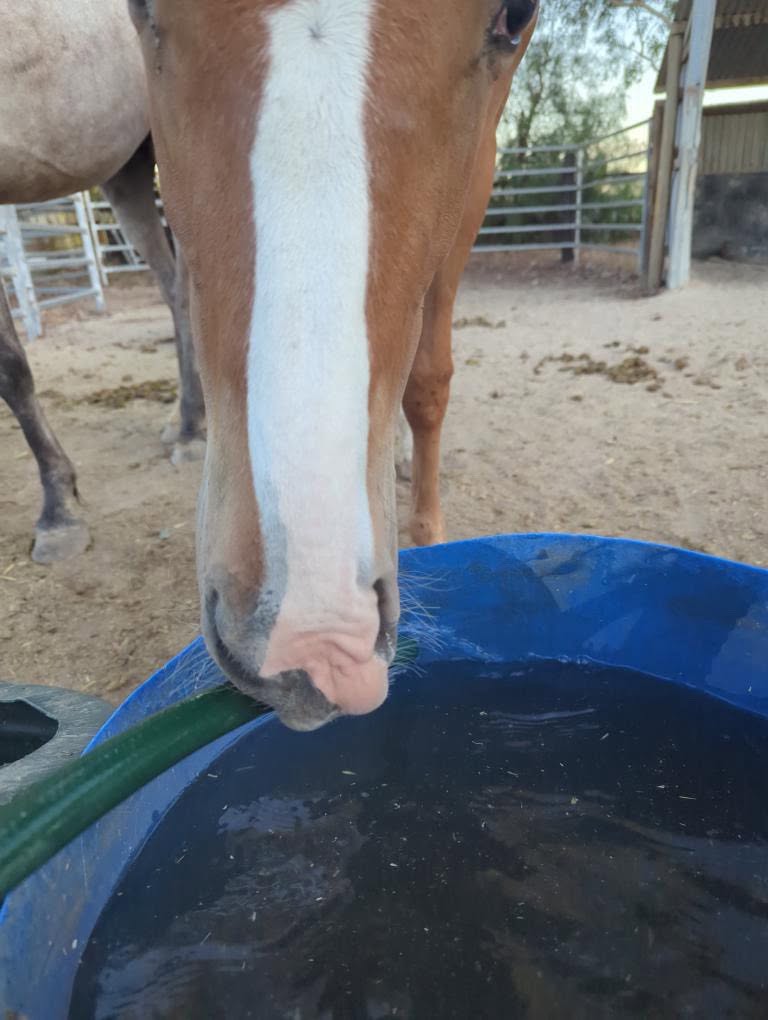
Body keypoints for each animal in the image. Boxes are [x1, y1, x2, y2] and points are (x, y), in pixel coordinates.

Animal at [0, 0, 205, 565]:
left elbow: (10, 367)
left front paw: (59, 513)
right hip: (127, 169)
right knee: (172, 289)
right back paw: (184, 421)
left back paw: (192, 432)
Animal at [130, 0, 538, 730]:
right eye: (141, 7)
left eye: (515, 16)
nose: (315, 637)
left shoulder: (477, 177)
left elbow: (427, 381)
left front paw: (428, 530)